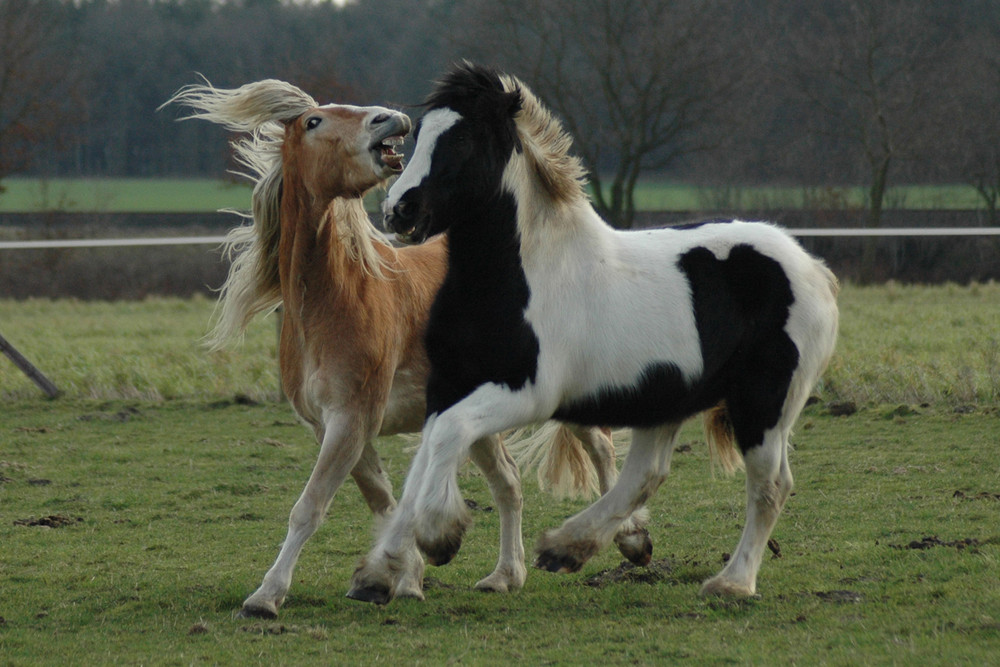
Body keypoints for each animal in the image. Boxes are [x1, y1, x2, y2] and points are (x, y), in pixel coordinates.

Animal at [164, 81, 644, 620]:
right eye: (313, 121)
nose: (390, 119)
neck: (332, 302)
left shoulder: (352, 419)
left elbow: (309, 507)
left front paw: (267, 596)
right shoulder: (336, 427)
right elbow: (385, 503)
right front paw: (404, 577)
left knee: (600, 447)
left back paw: (631, 539)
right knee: (508, 482)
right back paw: (505, 575)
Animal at [348, 64, 840, 604]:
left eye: (465, 138)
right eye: (420, 132)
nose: (399, 211)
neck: (518, 279)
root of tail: (813, 267)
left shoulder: (528, 393)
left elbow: (449, 435)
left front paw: (439, 535)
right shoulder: (447, 386)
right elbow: (426, 456)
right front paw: (381, 570)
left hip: (764, 402)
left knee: (769, 485)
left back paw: (730, 582)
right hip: (665, 399)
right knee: (646, 474)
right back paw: (570, 547)